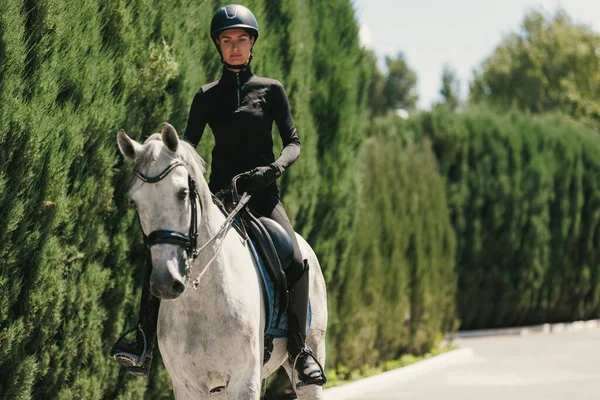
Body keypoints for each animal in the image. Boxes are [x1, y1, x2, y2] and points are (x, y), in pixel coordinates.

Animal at [117, 123, 328, 398]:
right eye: (135, 201)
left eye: (182, 193)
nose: (165, 282)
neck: (202, 300)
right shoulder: (187, 385)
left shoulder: (244, 381)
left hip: (309, 354)